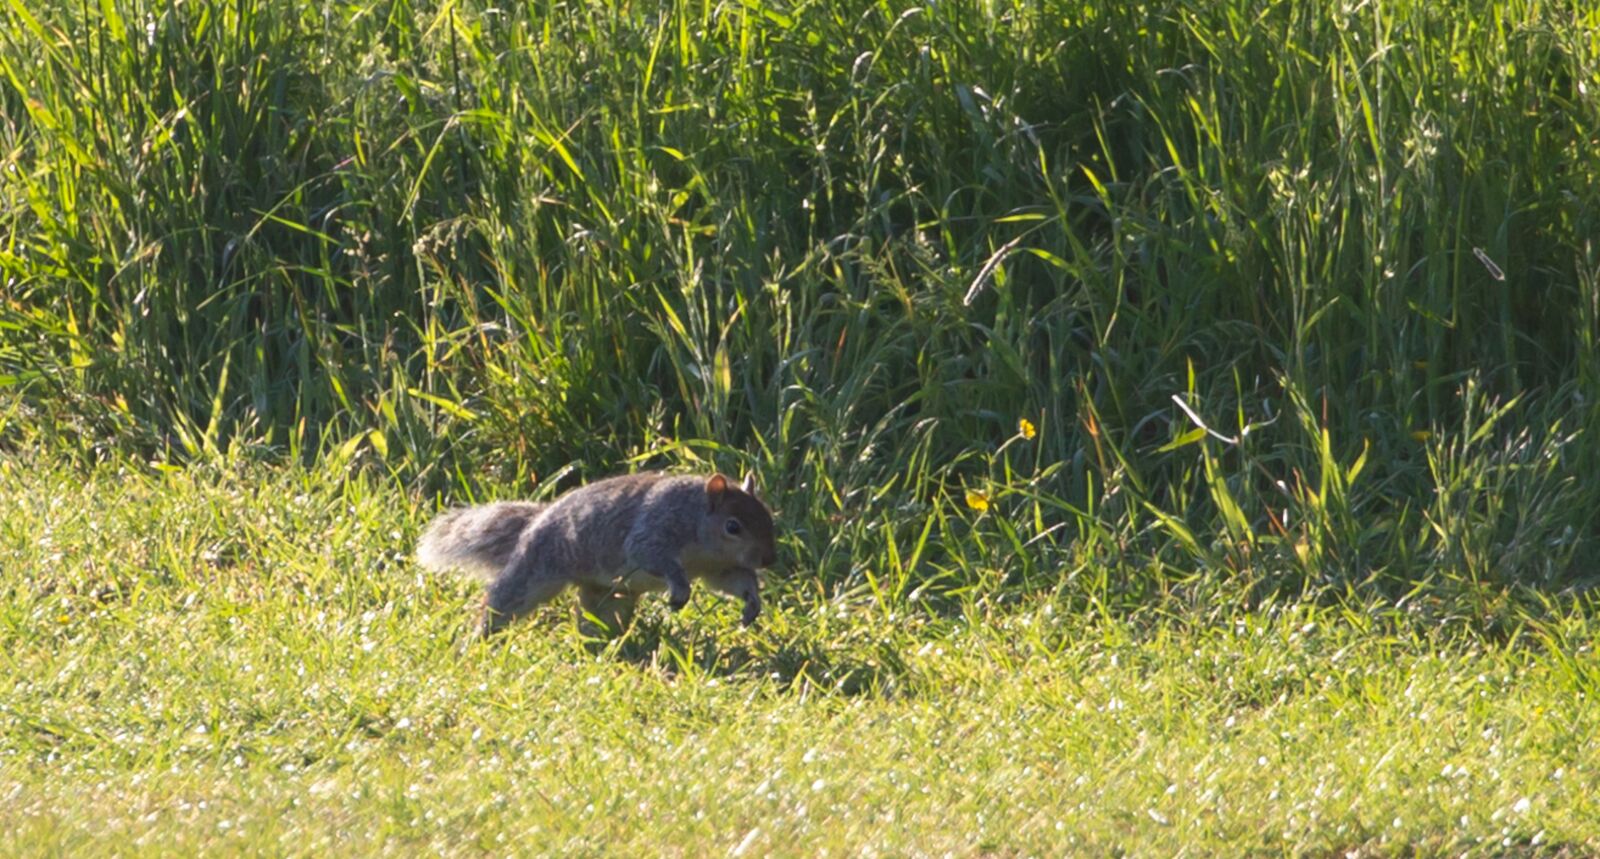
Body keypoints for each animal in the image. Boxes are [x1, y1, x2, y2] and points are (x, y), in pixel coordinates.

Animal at [416, 472, 777, 636]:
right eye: (733, 526)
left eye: (769, 515)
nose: (768, 560)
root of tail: (535, 523)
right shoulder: (656, 528)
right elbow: (652, 556)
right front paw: (679, 589)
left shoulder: (720, 568)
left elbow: (734, 583)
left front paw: (752, 604)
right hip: (533, 570)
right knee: (503, 602)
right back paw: (478, 639)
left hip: (609, 597)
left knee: (598, 619)